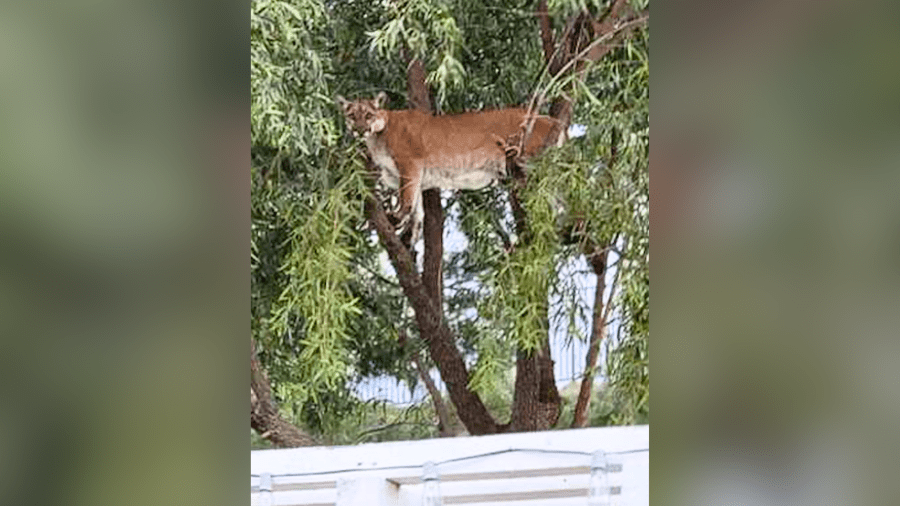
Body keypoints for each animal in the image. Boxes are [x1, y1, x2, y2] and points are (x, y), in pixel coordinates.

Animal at [340, 95, 564, 247]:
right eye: (352, 116)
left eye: (368, 115)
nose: (359, 129)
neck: (378, 136)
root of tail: (553, 120)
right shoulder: (416, 175)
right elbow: (418, 209)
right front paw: (411, 235)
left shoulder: (410, 165)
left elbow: (407, 198)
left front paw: (396, 217)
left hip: (528, 165)